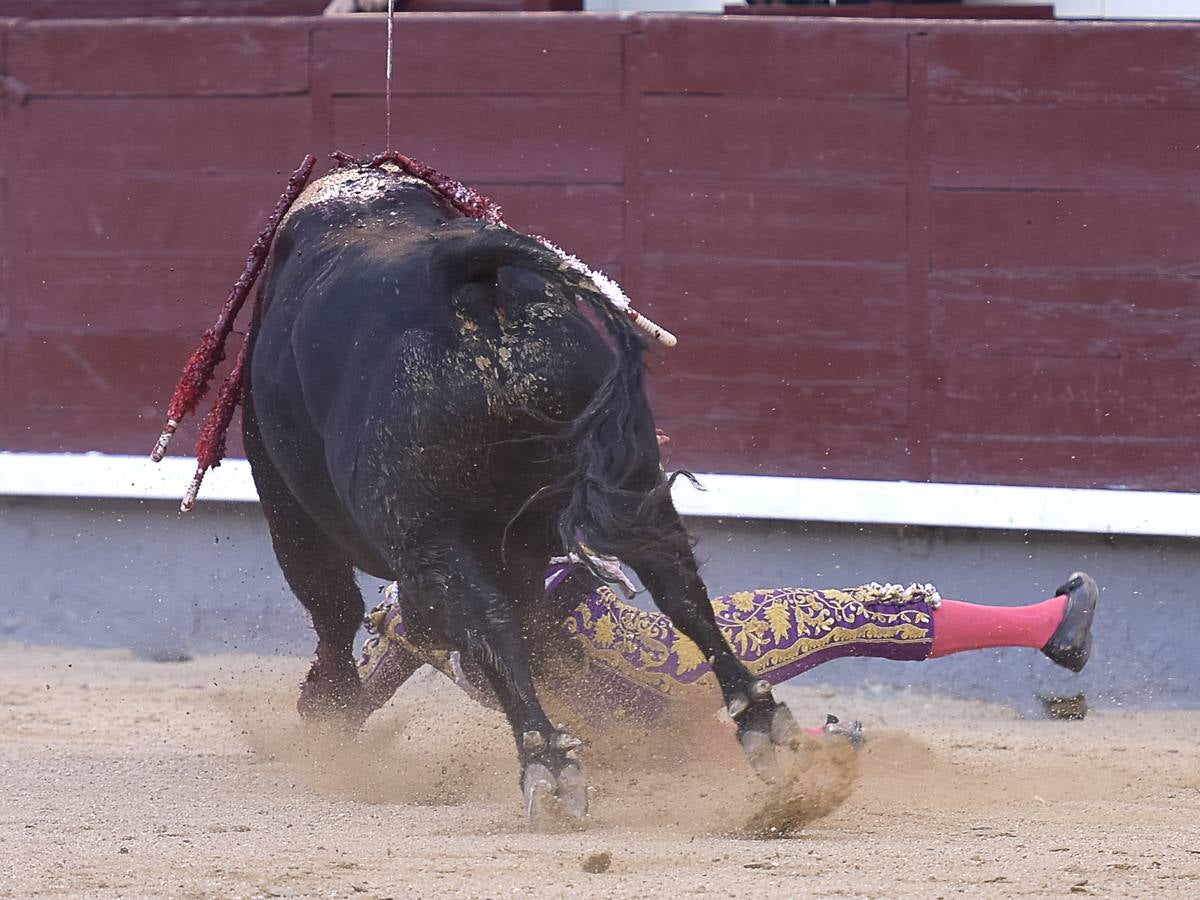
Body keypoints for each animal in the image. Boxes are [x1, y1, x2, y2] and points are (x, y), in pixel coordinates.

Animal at [243, 165, 806, 830]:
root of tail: (462, 273)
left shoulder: (285, 500)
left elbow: (331, 604)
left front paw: (328, 707)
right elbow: (549, 633)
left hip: (423, 534)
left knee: (488, 622)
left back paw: (546, 760)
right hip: (632, 480)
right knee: (675, 581)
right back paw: (756, 720)